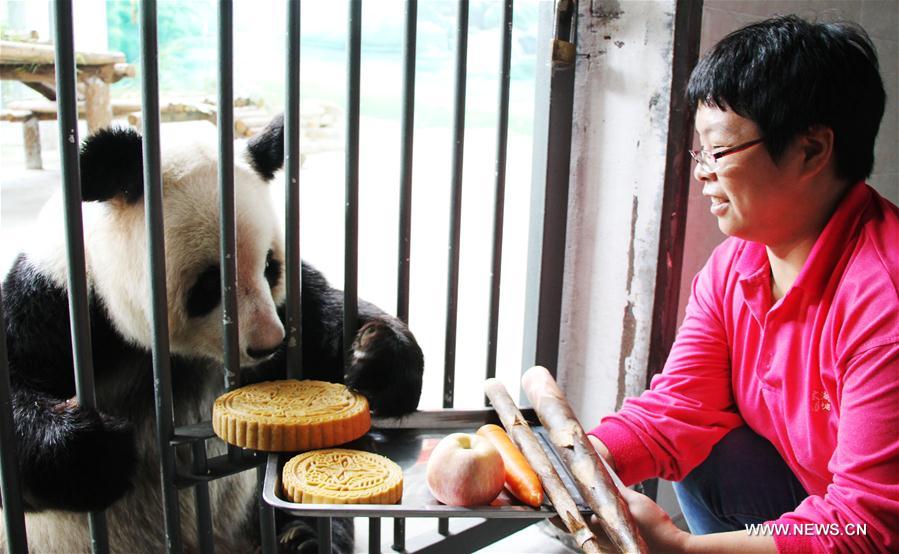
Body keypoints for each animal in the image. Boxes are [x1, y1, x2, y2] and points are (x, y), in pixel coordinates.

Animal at [0, 114, 426, 548]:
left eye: (270, 266)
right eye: (209, 284)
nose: (267, 344)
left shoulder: (287, 306)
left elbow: (322, 320)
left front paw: (377, 358)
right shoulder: (59, 302)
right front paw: (96, 451)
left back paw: (301, 538)